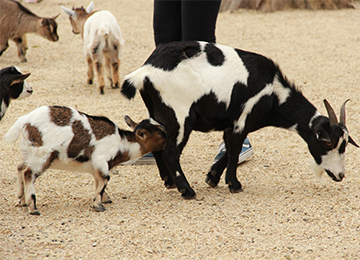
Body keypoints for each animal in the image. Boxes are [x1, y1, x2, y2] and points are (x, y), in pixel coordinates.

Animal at [3, 105, 167, 215]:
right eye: (160, 133)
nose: (169, 139)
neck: (121, 142)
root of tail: (25, 120)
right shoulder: (101, 160)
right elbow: (105, 179)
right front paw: (98, 205)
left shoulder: (95, 167)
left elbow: (98, 181)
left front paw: (105, 198)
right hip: (42, 155)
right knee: (28, 173)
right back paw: (33, 207)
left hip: (29, 153)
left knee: (20, 168)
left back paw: (22, 200)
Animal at [121, 41, 360, 198]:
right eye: (329, 143)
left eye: (345, 144)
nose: (340, 175)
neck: (274, 92)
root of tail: (144, 71)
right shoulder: (241, 120)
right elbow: (234, 151)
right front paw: (234, 184)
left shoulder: (235, 123)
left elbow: (229, 149)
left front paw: (213, 177)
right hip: (179, 116)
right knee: (171, 152)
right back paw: (186, 190)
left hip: (157, 114)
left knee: (157, 144)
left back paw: (169, 181)